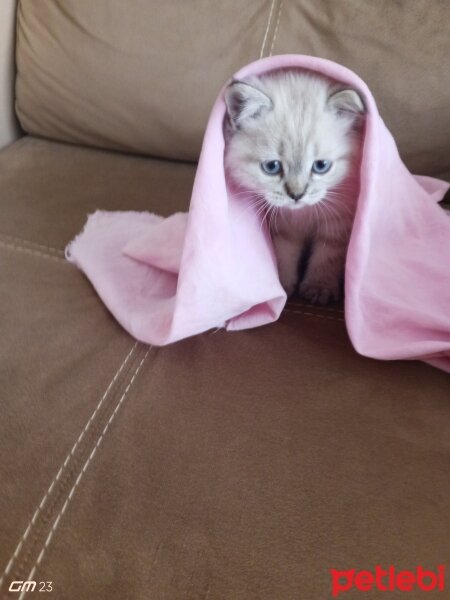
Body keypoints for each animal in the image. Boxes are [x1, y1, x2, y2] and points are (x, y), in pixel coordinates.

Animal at [223, 71, 364, 304]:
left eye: (321, 166)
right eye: (272, 167)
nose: (297, 195)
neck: (302, 215)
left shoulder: (339, 220)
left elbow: (327, 256)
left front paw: (319, 287)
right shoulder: (283, 227)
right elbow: (284, 254)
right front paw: (281, 285)